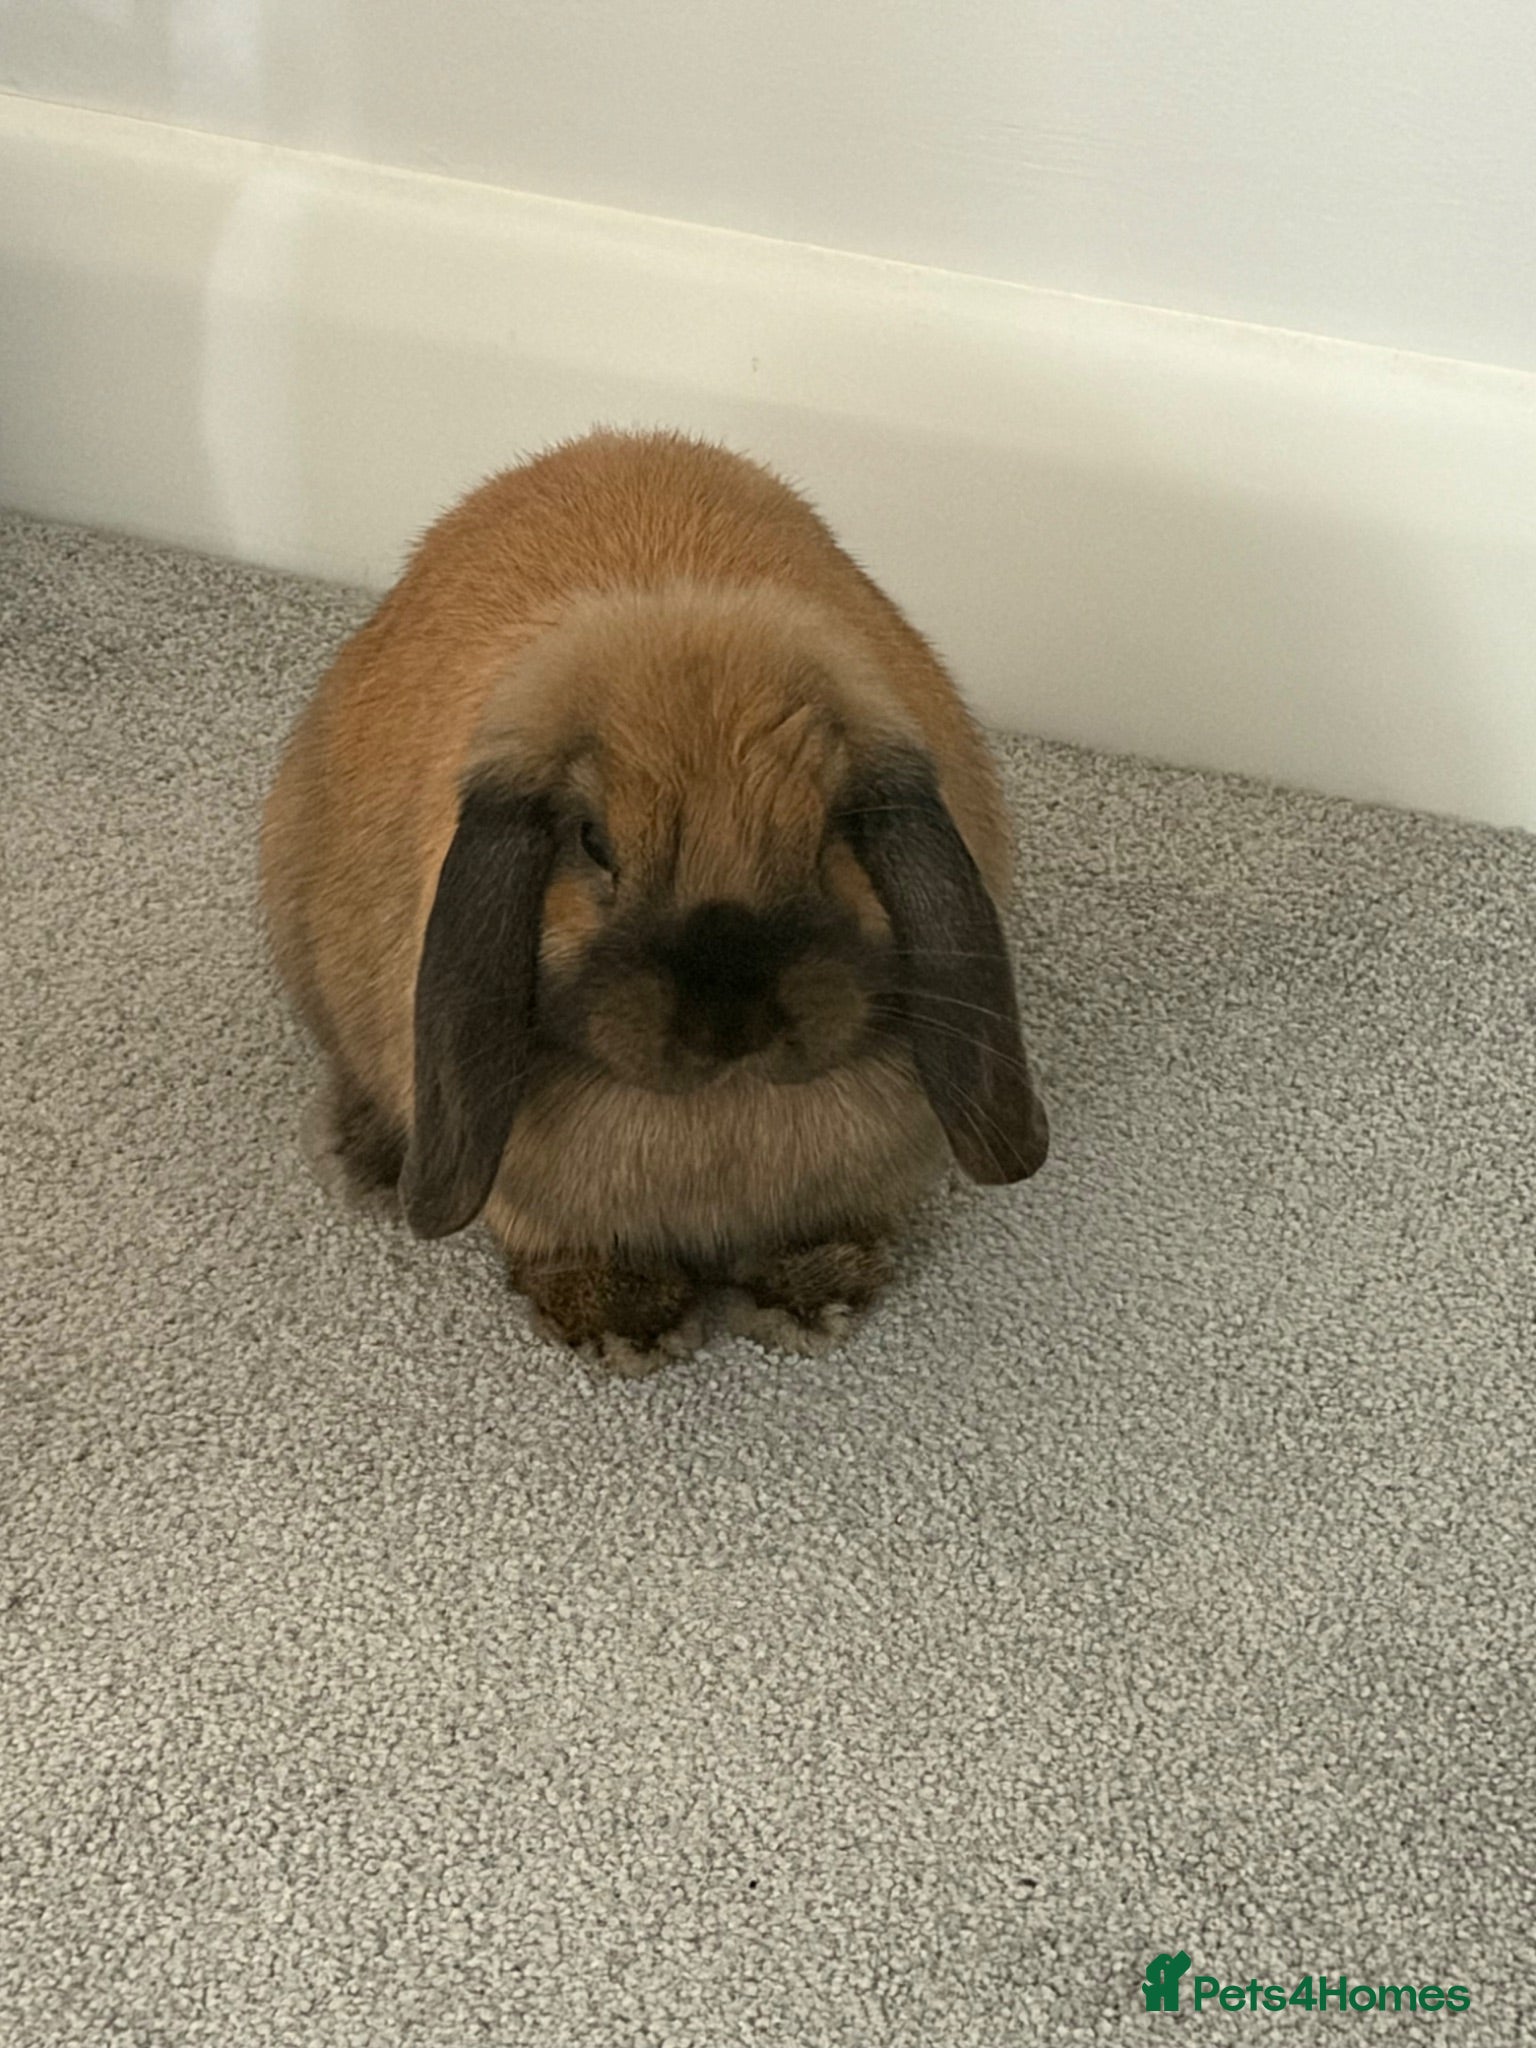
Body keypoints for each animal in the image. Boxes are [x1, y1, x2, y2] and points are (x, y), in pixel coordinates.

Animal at [260, 429, 1048, 1371]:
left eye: (833, 827)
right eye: (593, 842)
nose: (732, 1018)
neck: (718, 1113)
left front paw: (810, 1298)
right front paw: (624, 1326)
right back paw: (363, 1159)